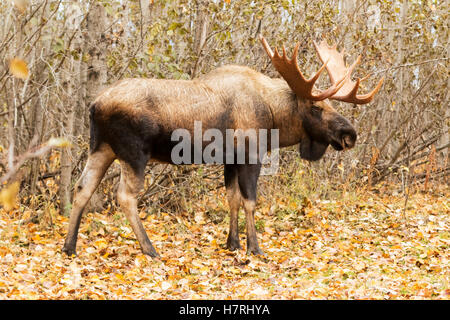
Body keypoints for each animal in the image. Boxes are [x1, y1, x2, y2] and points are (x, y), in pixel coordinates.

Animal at [62, 37, 384, 258]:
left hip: (101, 147)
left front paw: (233, 243)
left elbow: (232, 199)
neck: (273, 115)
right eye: (317, 107)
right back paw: (150, 248)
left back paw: (69, 246)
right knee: (124, 196)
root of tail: (94, 105)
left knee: (82, 187)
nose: (350, 134)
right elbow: (250, 201)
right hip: (133, 153)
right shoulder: (252, 154)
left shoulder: (230, 159)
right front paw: (255, 248)